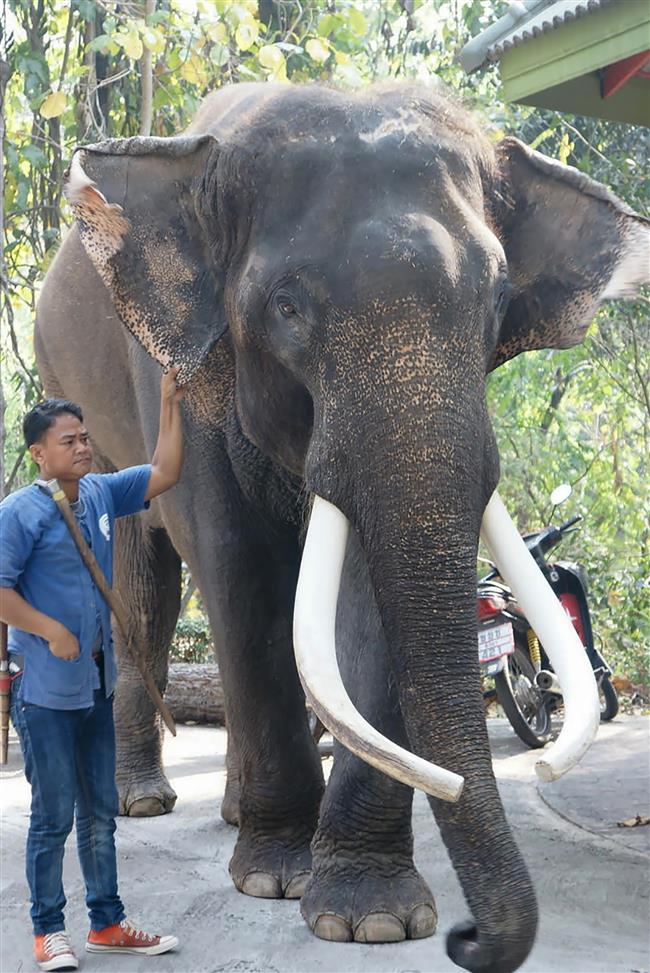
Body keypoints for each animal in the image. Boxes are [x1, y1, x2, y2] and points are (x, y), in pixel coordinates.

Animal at [36, 83, 648, 972]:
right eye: (288, 308)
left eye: (497, 304)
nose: (470, 935)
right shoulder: (178, 374)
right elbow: (239, 568)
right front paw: (276, 880)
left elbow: (365, 595)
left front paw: (372, 917)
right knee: (147, 585)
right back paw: (145, 801)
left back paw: (232, 811)